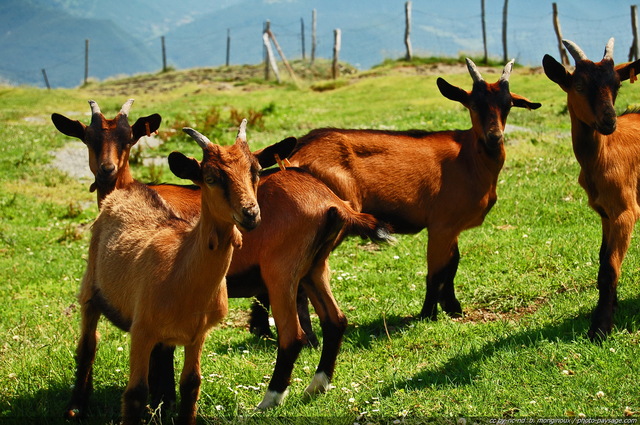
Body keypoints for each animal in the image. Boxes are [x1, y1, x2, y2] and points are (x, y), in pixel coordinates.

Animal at [288, 58, 540, 320]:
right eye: (473, 105)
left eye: (508, 105)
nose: (495, 137)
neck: (469, 157)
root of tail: (296, 154)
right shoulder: (441, 225)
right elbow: (436, 272)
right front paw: (428, 314)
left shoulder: (452, 228)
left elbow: (452, 266)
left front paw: (452, 308)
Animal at [544, 38, 640, 340]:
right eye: (579, 85)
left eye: (617, 85)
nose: (609, 121)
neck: (603, 155)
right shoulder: (605, 213)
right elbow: (602, 261)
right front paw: (610, 307)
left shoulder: (625, 211)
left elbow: (609, 268)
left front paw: (600, 327)